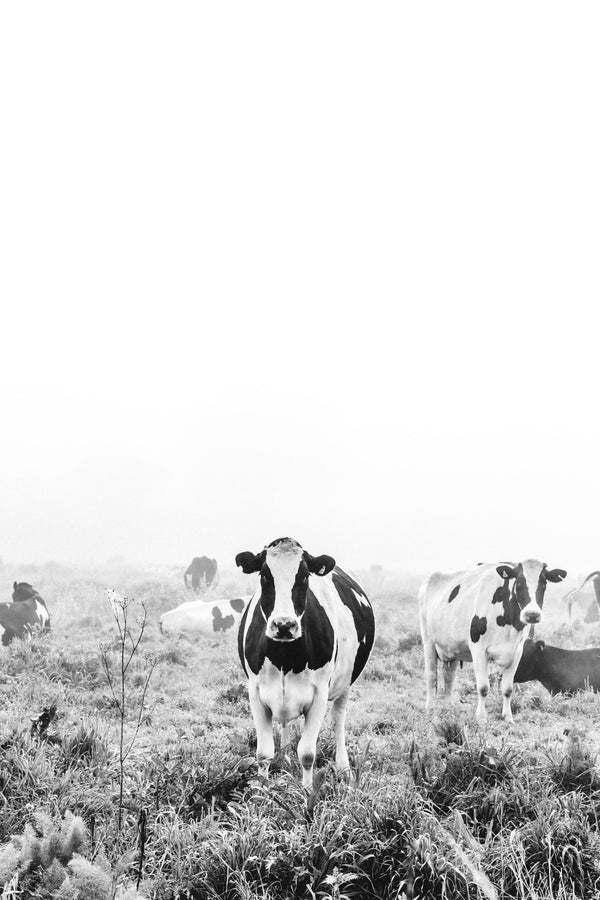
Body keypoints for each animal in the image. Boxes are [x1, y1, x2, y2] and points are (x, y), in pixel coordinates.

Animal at [236, 537, 375, 788]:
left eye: (303, 577)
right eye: (265, 576)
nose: (284, 625)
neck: (284, 657)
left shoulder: (319, 694)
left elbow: (308, 753)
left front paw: (307, 790)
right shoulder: (255, 691)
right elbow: (263, 754)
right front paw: (262, 790)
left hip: (346, 684)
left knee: (338, 720)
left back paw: (344, 768)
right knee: (285, 723)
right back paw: (285, 756)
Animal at [418, 560, 566, 723]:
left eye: (544, 584)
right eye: (519, 583)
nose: (532, 614)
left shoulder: (517, 653)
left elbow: (508, 689)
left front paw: (508, 717)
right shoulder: (478, 651)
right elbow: (483, 687)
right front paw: (481, 718)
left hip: (452, 647)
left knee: (449, 677)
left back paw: (448, 707)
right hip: (428, 639)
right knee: (431, 675)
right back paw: (431, 708)